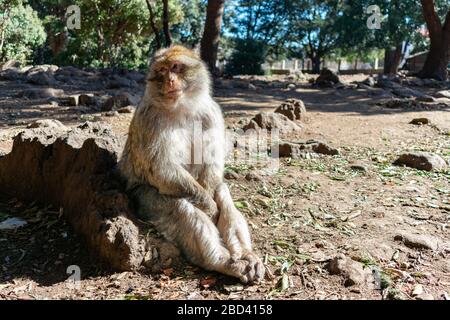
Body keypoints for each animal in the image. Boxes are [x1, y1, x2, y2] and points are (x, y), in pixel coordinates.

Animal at [119, 45, 266, 282]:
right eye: (161, 71)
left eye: (176, 67)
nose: (170, 80)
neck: (181, 108)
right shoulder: (148, 118)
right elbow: (161, 169)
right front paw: (209, 207)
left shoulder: (211, 112)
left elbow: (212, 163)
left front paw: (214, 204)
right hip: (144, 199)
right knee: (180, 206)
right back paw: (222, 262)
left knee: (221, 190)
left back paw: (244, 254)